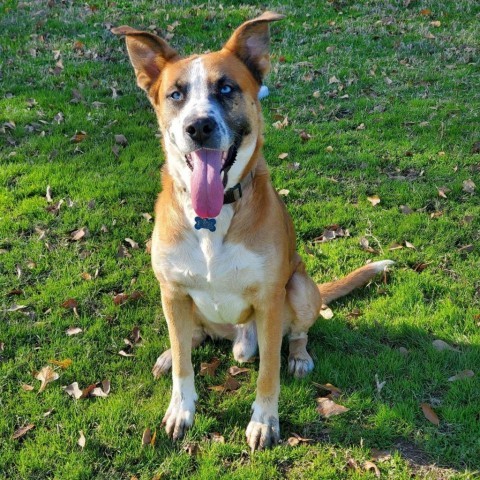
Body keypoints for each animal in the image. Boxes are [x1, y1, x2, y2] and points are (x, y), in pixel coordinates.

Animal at [113, 13, 394, 452]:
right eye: (176, 94)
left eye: (226, 88)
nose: (198, 126)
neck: (212, 217)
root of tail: (235, 335)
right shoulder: (171, 290)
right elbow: (184, 368)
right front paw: (181, 408)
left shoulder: (269, 299)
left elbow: (268, 373)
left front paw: (264, 421)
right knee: (188, 340)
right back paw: (171, 352)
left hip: (299, 287)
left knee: (296, 334)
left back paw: (298, 356)